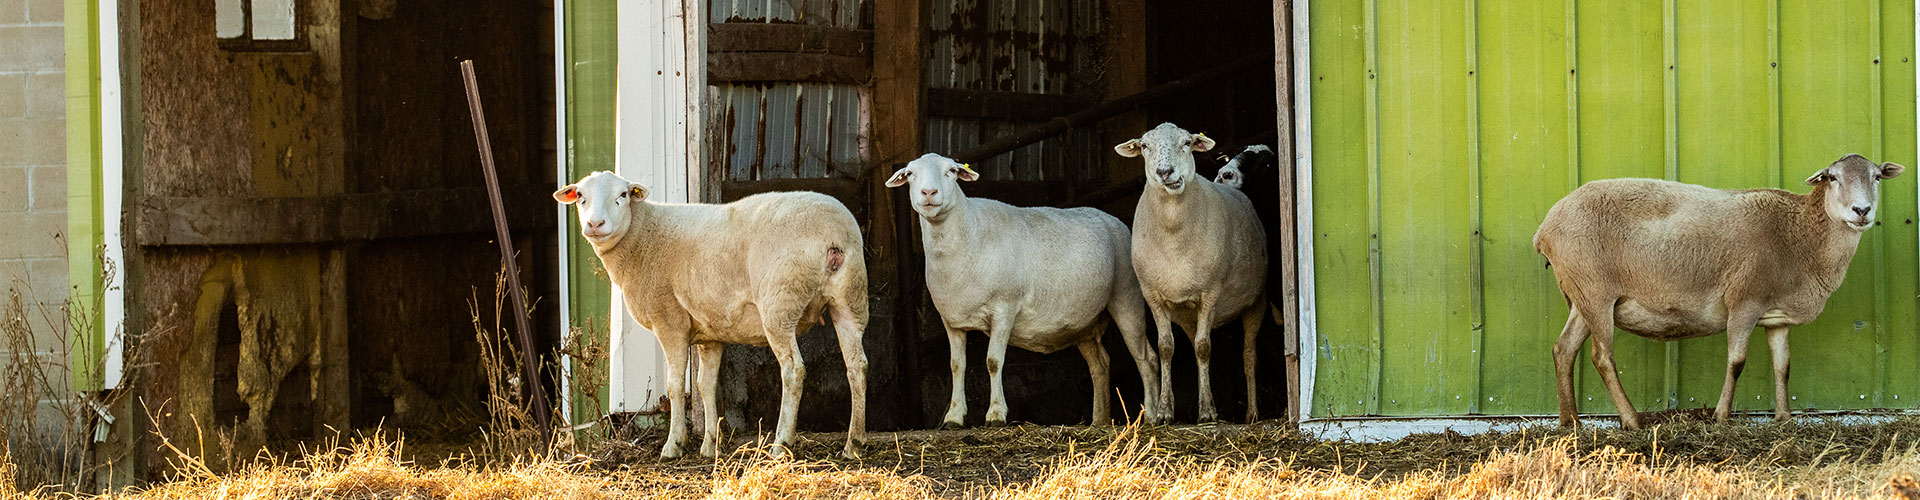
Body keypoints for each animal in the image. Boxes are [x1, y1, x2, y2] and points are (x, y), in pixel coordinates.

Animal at [554, 171, 869, 459]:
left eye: (622, 195)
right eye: (580, 196)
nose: (595, 224)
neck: (643, 237)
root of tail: (832, 235)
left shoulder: (669, 320)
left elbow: (675, 384)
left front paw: (674, 445)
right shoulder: (709, 332)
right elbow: (705, 385)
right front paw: (709, 447)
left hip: (779, 303)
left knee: (793, 369)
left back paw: (781, 444)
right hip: (850, 299)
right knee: (857, 366)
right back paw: (853, 444)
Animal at [887, 153, 1166, 427]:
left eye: (951, 172)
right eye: (910, 174)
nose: (929, 192)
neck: (969, 234)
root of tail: (1112, 219)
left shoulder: (1004, 308)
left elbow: (993, 361)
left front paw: (996, 415)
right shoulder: (951, 320)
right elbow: (956, 365)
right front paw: (954, 417)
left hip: (1126, 296)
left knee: (1146, 359)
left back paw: (1152, 416)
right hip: (1083, 322)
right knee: (1100, 364)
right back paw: (1099, 421)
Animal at [1115, 123, 1271, 423]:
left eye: (1187, 143)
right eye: (1144, 146)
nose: (1165, 172)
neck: (1174, 235)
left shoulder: (1211, 292)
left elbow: (1203, 347)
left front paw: (1208, 412)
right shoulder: (1152, 295)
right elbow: (1166, 348)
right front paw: (1164, 411)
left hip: (1255, 302)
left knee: (1249, 355)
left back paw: (1252, 413)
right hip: (1187, 314)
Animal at [1533, 154, 1905, 430]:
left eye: (1876, 177)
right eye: (1832, 178)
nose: (1862, 211)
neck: (1800, 235)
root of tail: (1545, 228)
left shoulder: (1776, 317)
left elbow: (1783, 365)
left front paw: (1784, 418)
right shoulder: (1744, 300)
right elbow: (1737, 361)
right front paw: (1722, 416)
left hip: (1581, 295)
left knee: (1563, 350)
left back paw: (1570, 421)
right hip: (1595, 290)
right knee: (1602, 357)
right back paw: (1631, 420)